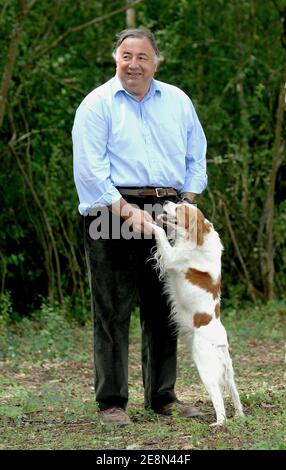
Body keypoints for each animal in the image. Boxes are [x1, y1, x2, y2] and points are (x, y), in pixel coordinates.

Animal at [152, 202, 244, 426]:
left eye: (180, 209)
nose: (166, 202)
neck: (199, 236)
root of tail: (220, 343)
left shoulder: (172, 256)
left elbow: (160, 232)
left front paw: (148, 223)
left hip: (204, 367)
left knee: (219, 401)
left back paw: (218, 423)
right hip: (229, 372)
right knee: (235, 395)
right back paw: (239, 415)